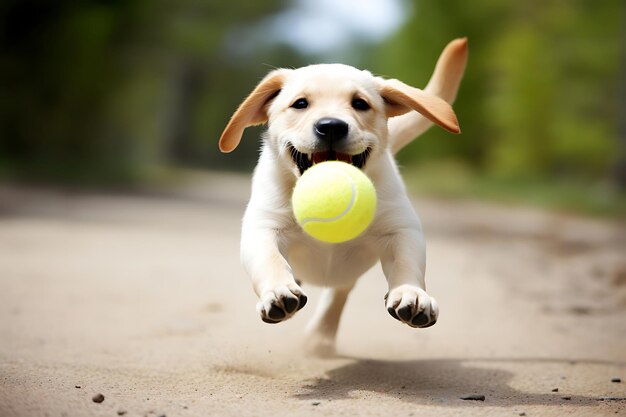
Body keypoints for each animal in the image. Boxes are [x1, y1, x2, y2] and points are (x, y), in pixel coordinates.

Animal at [217, 37, 466, 354]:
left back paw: (320, 337)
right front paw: (278, 290)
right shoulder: (263, 227)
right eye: (300, 103)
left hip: (347, 275)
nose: (331, 126)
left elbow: (407, 263)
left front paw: (412, 294)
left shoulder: (399, 229)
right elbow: (270, 259)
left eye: (360, 103)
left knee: (338, 295)